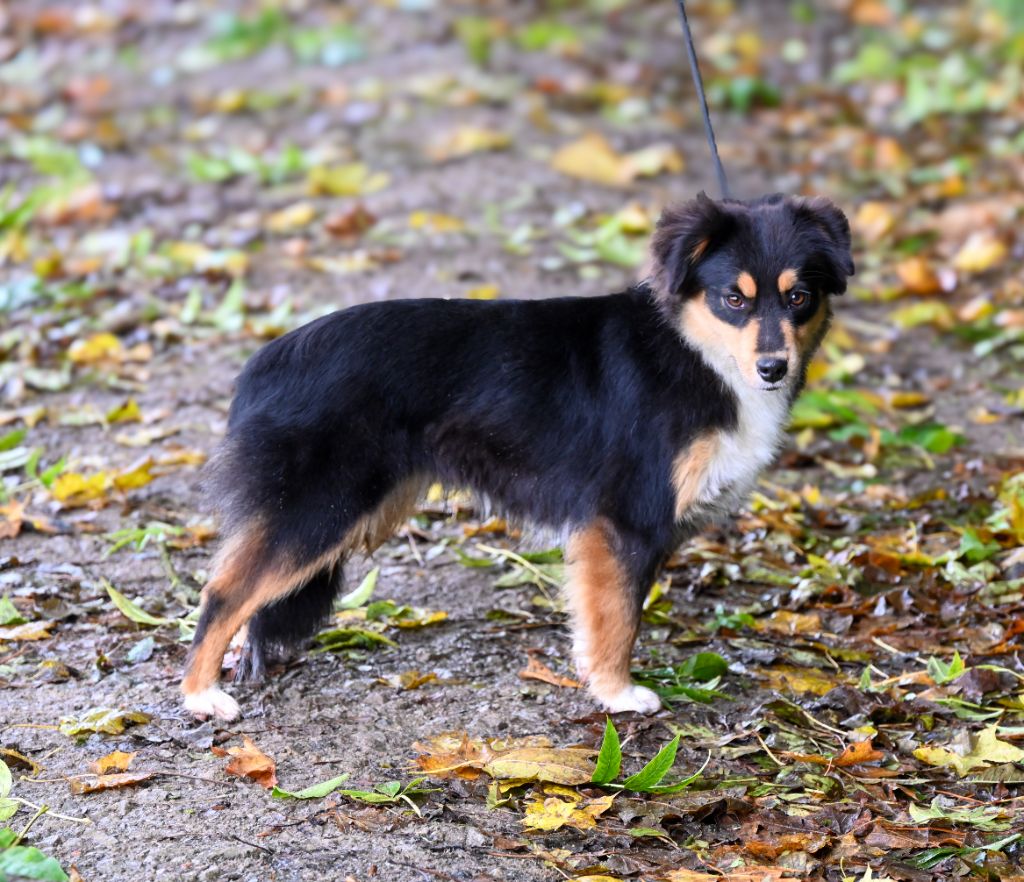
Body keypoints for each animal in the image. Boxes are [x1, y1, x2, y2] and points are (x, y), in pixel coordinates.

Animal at [182, 190, 856, 717]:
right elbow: (618, 620)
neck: (694, 353)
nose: (773, 368)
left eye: (799, 298)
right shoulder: (625, 519)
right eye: (733, 300)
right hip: (318, 510)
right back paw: (201, 695)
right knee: (223, 593)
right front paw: (617, 693)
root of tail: (267, 360)